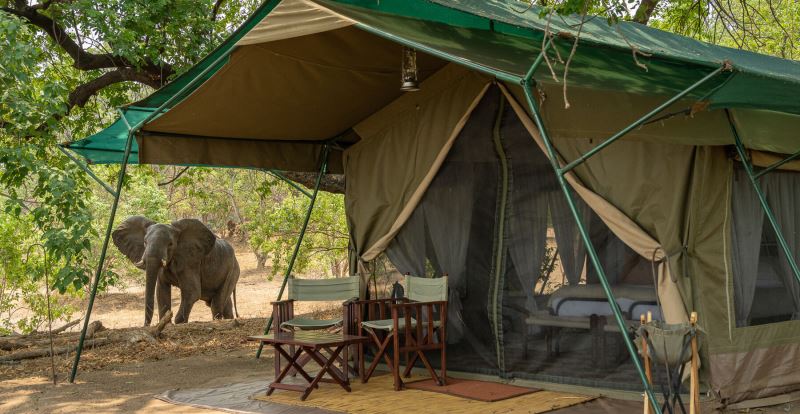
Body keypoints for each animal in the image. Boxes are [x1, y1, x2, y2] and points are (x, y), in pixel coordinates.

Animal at [111, 215, 241, 326]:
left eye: (170, 244)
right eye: (145, 242)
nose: (146, 325)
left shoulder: (190, 261)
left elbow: (192, 292)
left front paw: (178, 323)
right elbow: (161, 292)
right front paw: (166, 323)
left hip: (232, 271)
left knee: (216, 303)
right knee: (224, 304)